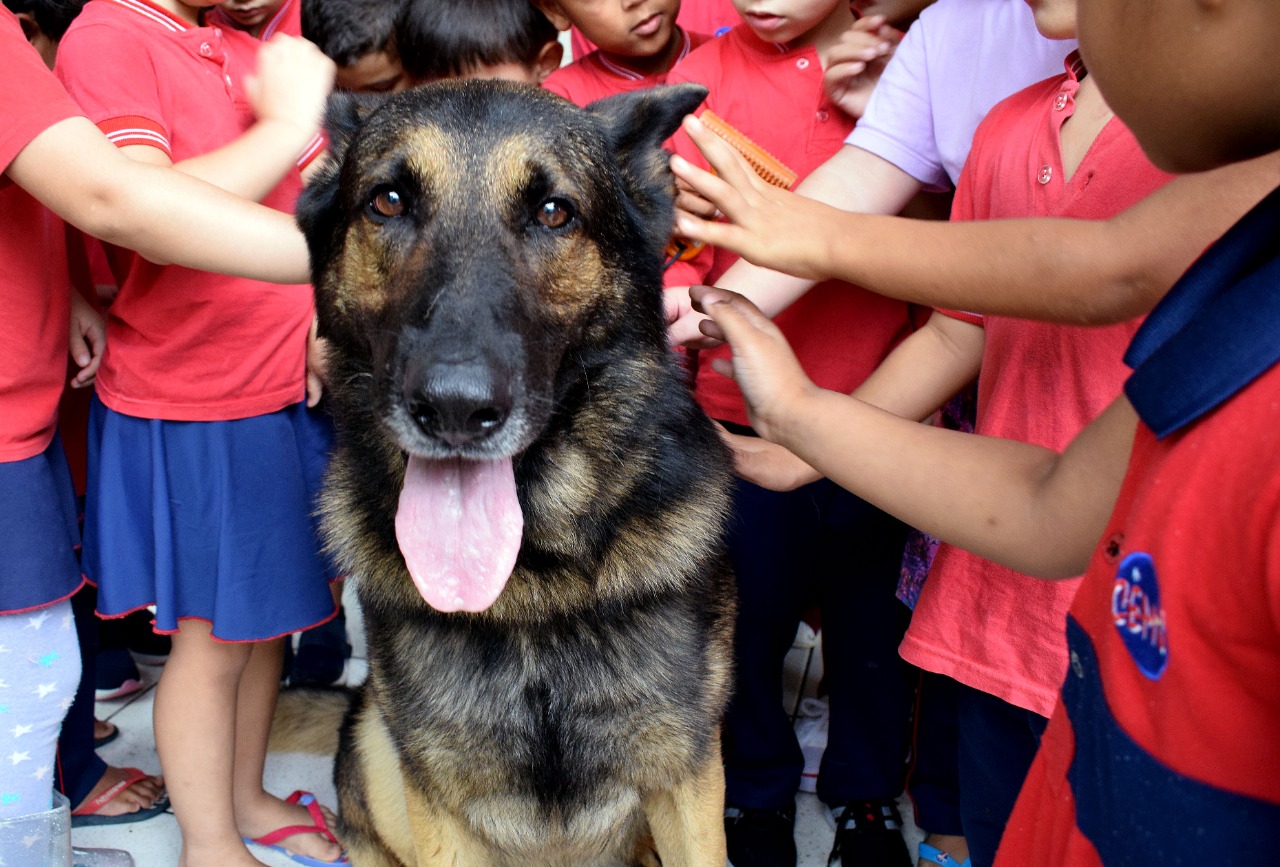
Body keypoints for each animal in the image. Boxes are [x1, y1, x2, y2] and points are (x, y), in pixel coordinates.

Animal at [293, 77, 732, 860]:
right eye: (388, 201)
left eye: (554, 213)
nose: (455, 408)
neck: (532, 586)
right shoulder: (438, 801)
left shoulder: (687, 777)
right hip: (376, 745)